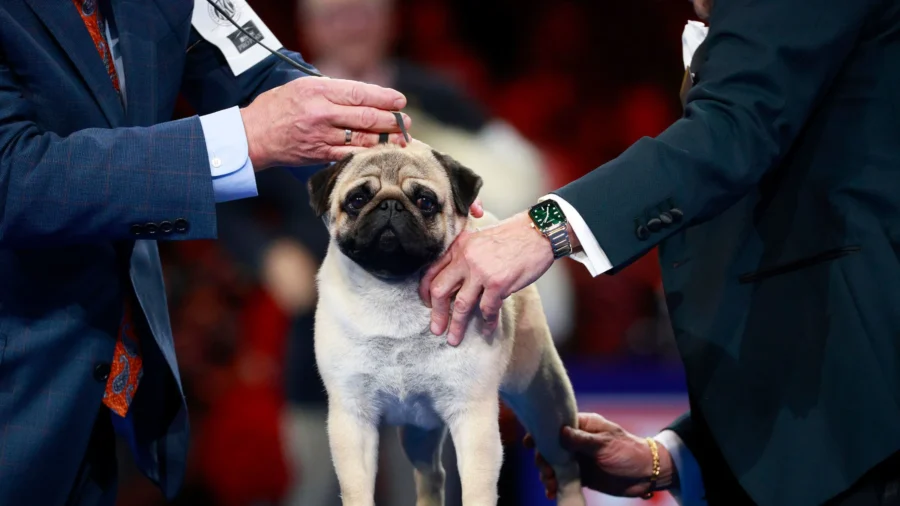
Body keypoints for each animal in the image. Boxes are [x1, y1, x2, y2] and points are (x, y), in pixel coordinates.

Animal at [308, 142, 584, 506]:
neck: (392, 292)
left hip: (546, 405)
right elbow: (357, 489)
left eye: (425, 201)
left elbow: (477, 490)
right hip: (419, 430)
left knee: (567, 467)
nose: (390, 204)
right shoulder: (353, 419)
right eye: (357, 199)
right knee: (432, 475)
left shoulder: (473, 419)